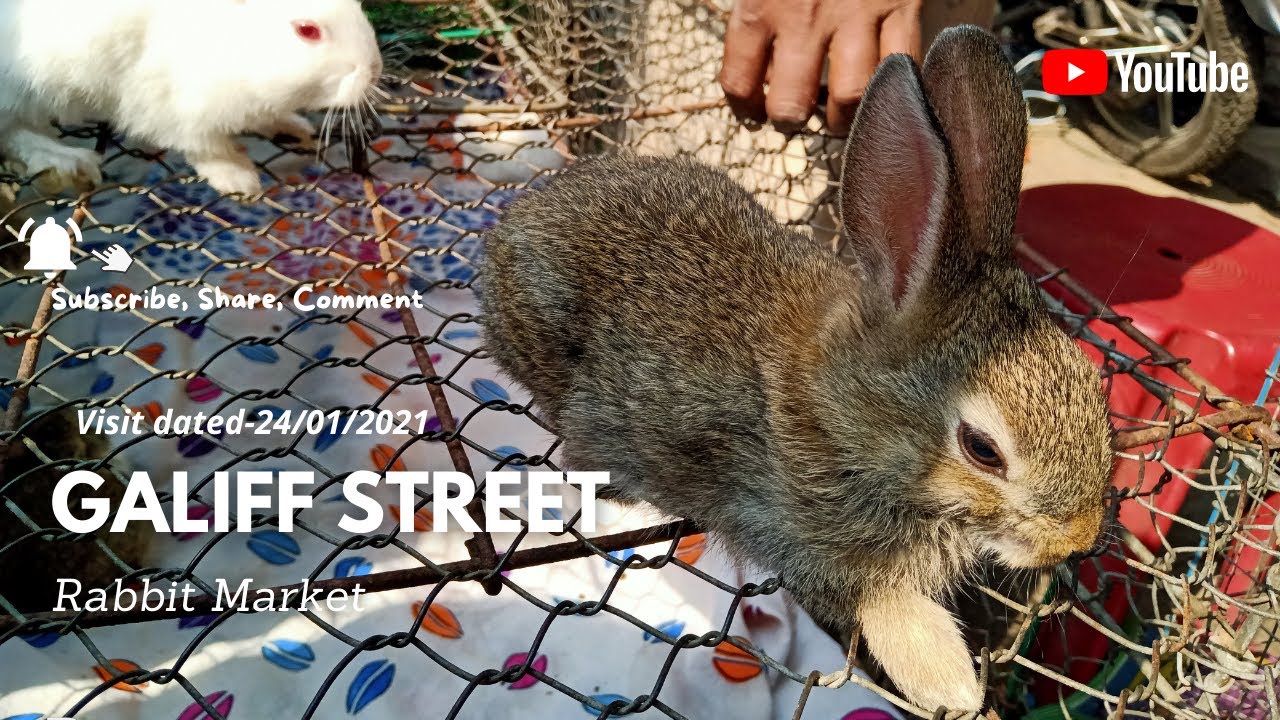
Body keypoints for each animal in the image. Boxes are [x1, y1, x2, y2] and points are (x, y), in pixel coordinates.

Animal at [0, 0, 381, 194]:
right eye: (307, 30)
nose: (374, 68)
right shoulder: (168, 103)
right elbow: (205, 146)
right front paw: (238, 178)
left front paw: (293, 127)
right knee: (14, 133)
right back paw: (68, 160)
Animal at [481, 28, 1111, 712]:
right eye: (982, 450)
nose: (1077, 538)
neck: (844, 417)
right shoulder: (800, 534)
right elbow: (887, 608)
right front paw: (950, 685)